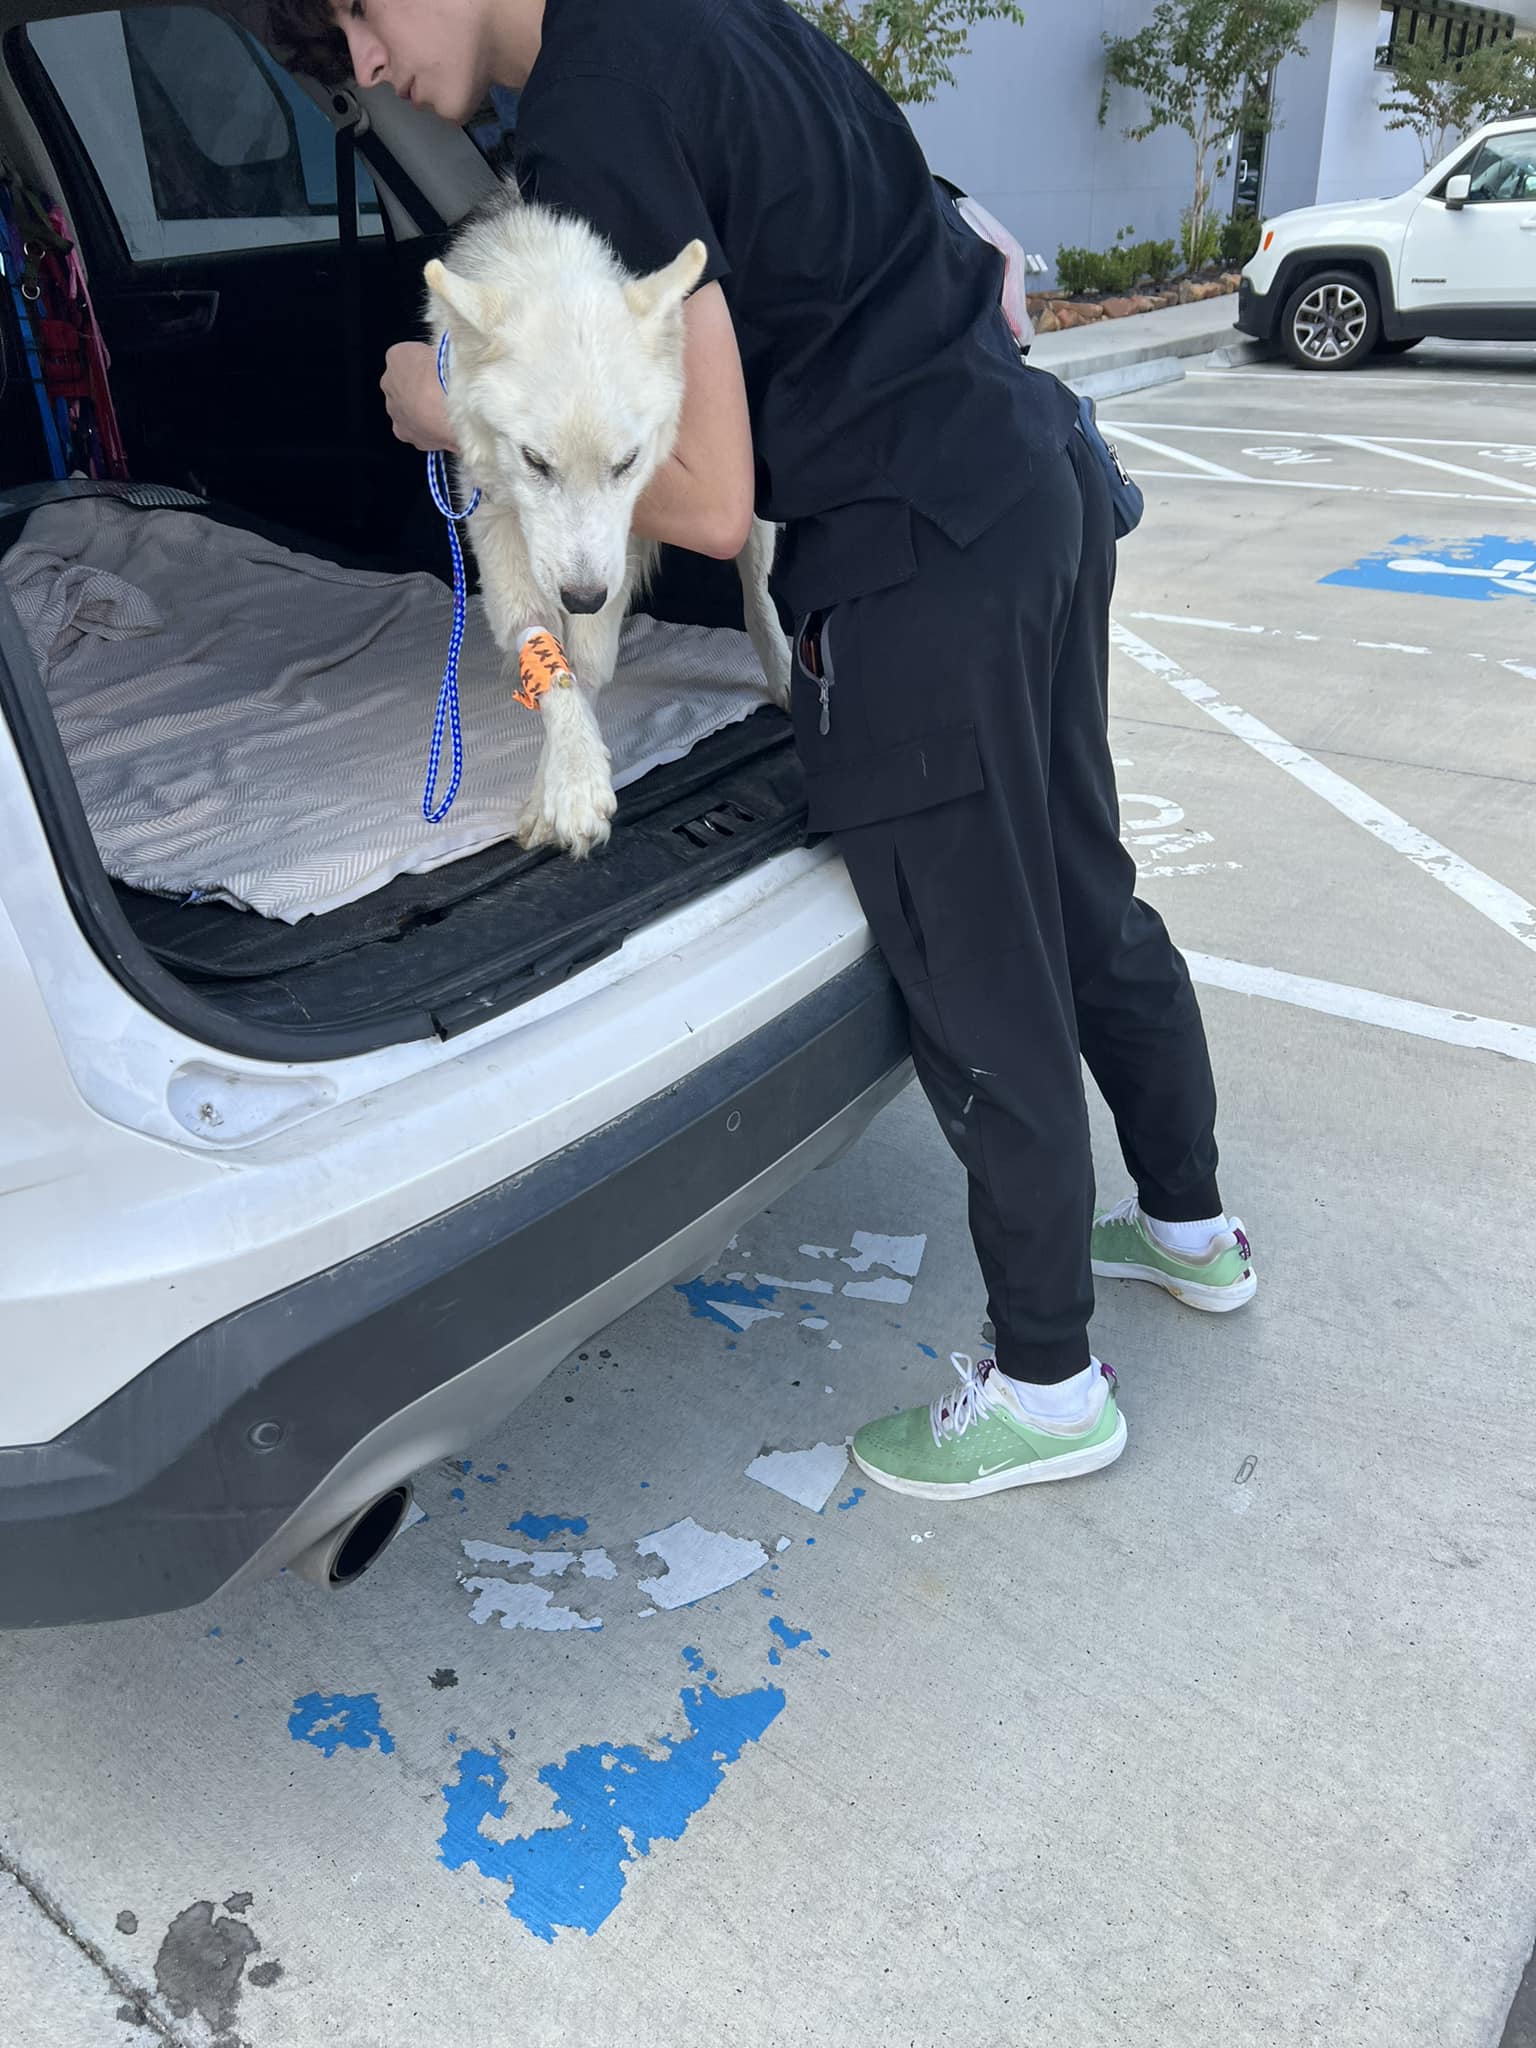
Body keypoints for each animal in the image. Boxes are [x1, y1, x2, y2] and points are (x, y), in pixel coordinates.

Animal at [428, 199, 794, 856]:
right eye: (534, 461)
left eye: (626, 463)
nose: (582, 597)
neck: (538, 253)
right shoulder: (491, 515)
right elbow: (545, 655)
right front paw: (570, 775)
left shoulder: (615, 550)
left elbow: (588, 666)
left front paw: (563, 785)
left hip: (750, 515)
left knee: (757, 593)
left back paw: (780, 670)